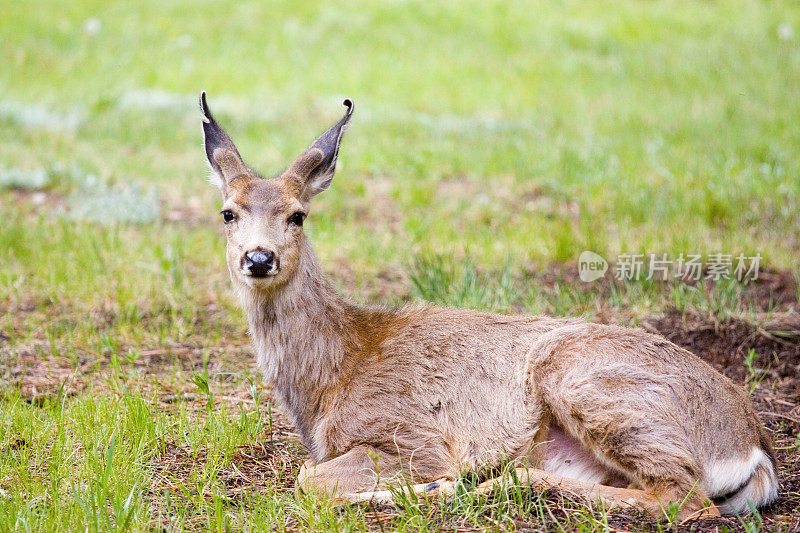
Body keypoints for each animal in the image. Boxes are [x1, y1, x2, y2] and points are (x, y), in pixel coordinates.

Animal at [197, 92, 780, 520]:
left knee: (684, 499)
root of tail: (752, 445)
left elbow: (307, 478)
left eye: (298, 214)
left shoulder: (411, 437)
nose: (258, 257)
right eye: (228, 212)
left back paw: (458, 487)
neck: (334, 373)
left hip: (591, 380)